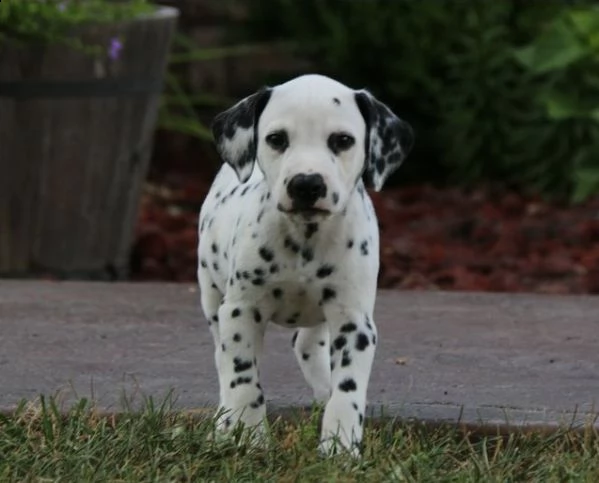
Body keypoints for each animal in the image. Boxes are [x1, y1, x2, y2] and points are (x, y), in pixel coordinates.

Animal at [197, 73, 412, 456]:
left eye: (343, 140)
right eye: (277, 139)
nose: (307, 184)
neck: (304, 240)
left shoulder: (354, 322)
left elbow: (347, 389)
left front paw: (340, 446)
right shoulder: (241, 311)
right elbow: (243, 377)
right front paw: (249, 436)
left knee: (308, 345)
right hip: (211, 295)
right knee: (222, 360)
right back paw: (223, 422)